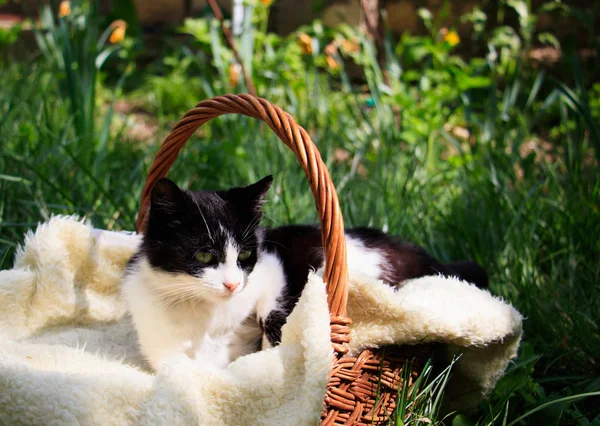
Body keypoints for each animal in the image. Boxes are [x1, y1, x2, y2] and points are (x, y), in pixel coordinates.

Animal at [122, 175, 488, 372]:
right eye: (203, 254)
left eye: (245, 254)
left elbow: (271, 310)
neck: (207, 313)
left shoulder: (273, 262)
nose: (233, 284)